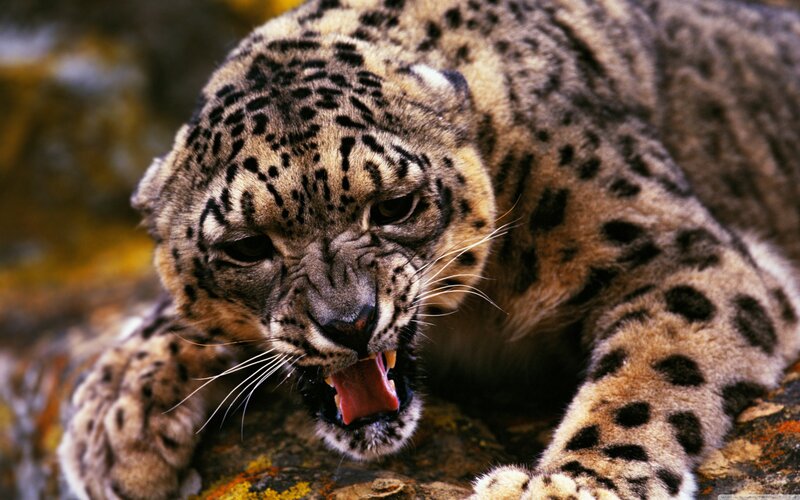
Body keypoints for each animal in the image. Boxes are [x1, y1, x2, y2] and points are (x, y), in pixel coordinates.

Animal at [57, 0, 800, 498]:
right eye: (245, 246)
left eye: (395, 206)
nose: (350, 322)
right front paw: (114, 421)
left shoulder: (676, 252)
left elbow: (645, 382)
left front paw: (565, 485)